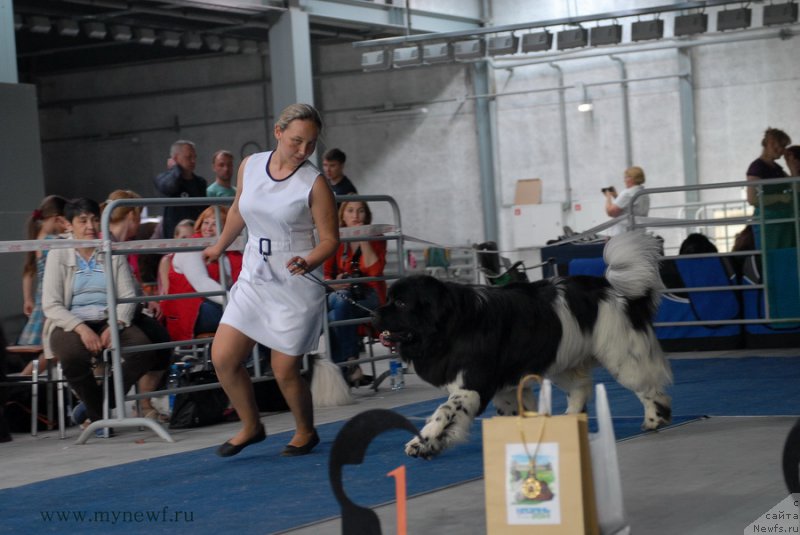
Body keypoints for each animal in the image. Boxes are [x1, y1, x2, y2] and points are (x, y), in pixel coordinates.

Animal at [374, 231, 668, 460]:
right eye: (388, 298)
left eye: (401, 303)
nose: (374, 313)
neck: (452, 325)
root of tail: (616, 290)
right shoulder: (504, 387)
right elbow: (513, 413)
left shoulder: (472, 387)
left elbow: (444, 412)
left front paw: (422, 442)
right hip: (562, 358)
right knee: (580, 388)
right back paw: (570, 421)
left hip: (621, 354)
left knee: (648, 385)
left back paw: (654, 419)